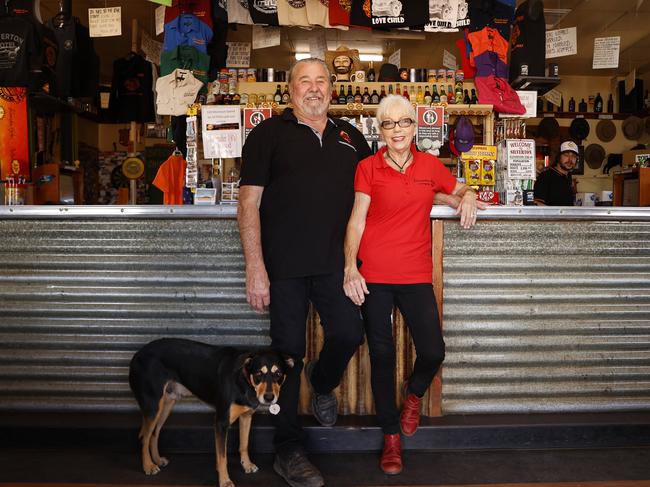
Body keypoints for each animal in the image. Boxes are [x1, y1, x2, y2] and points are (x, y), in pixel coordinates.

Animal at [128, 340, 290, 487]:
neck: (243, 379)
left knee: (154, 434)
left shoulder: (246, 416)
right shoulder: (221, 423)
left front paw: (247, 465)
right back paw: (148, 466)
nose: (269, 397)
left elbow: (244, 444)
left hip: (166, 404)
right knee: (144, 437)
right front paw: (225, 480)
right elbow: (222, 456)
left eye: (278, 374)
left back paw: (156, 459)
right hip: (152, 406)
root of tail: (137, 354)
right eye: (258, 374)